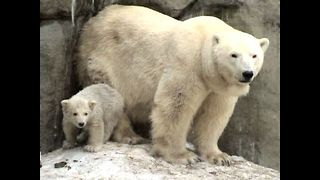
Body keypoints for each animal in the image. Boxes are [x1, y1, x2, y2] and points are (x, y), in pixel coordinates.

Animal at [75, 4, 270, 165]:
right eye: (234, 55)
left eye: (254, 55)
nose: (247, 73)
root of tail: (91, 22)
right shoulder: (187, 62)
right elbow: (176, 106)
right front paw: (183, 156)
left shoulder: (219, 87)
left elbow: (213, 115)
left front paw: (220, 157)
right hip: (104, 61)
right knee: (111, 95)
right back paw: (130, 136)